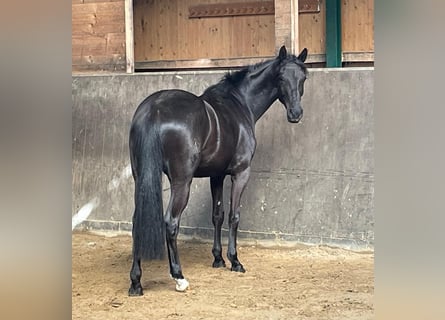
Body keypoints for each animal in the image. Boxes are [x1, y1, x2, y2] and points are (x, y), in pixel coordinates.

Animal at [127, 45, 306, 296]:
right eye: (281, 77)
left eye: (303, 77)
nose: (295, 114)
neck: (239, 104)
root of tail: (155, 109)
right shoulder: (240, 173)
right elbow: (233, 216)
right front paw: (235, 261)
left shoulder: (217, 175)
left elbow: (217, 215)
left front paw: (218, 259)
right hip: (182, 183)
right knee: (171, 222)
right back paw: (179, 277)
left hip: (140, 178)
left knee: (137, 223)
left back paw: (136, 282)